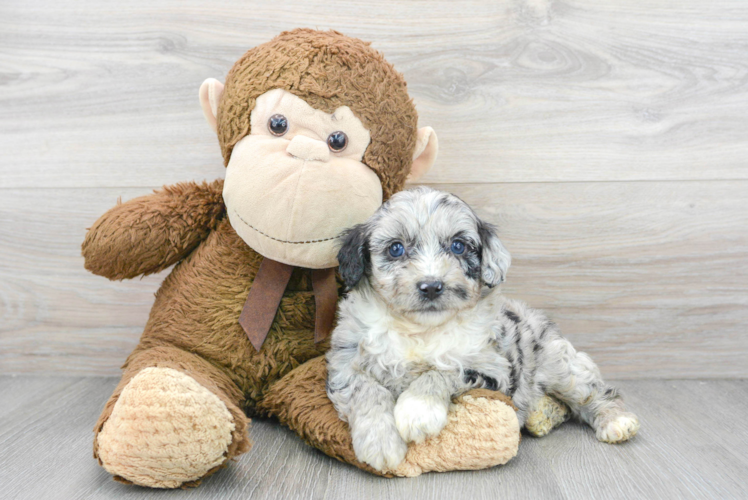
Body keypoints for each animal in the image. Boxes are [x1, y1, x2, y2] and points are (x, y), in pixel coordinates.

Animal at [324, 188, 640, 472]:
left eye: (458, 246)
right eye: (395, 248)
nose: (431, 286)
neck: (421, 330)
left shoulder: (492, 368)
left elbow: (443, 370)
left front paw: (418, 411)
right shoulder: (344, 364)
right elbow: (366, 390)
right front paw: (380, 442)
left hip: (561, 366)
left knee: (595, 393)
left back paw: (616, 421)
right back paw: (542, 413)